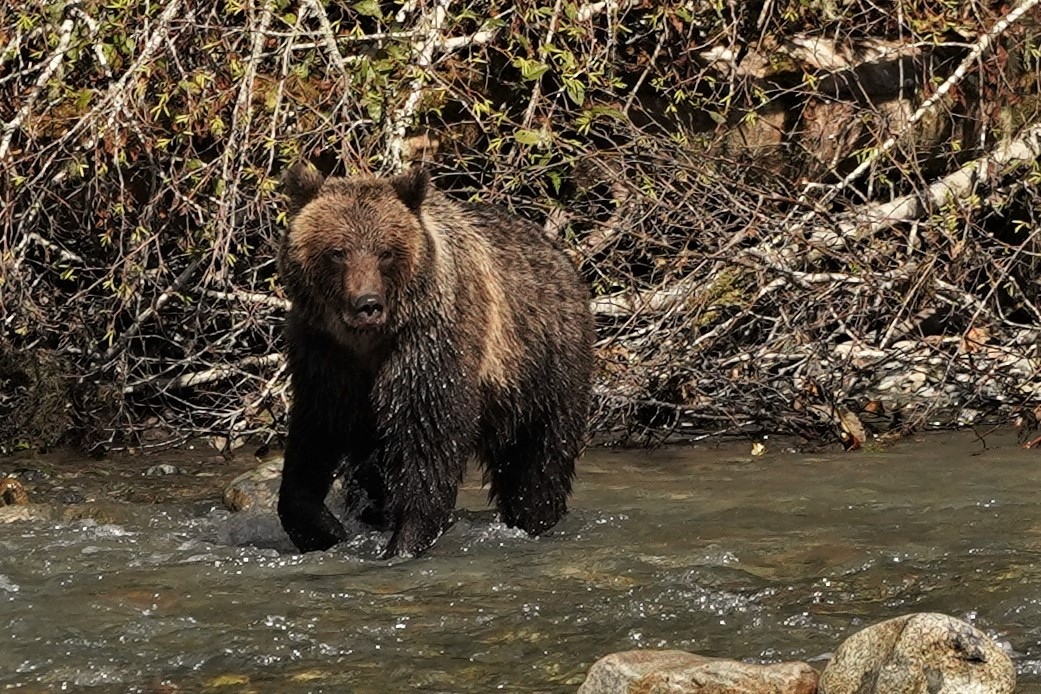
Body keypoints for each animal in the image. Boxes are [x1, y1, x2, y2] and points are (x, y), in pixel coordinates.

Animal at [275, 161, 595, 558]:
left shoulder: (429, 347)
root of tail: (560, 255)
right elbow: (312, 438)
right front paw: (326, 528)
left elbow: (428, 441)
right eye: (338, 251)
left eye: (385, 252)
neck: (367, 343)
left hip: (542, 370)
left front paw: (405, 540)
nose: (367, 304)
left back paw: (535, 517)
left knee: (538, 458)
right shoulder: (324, 357)